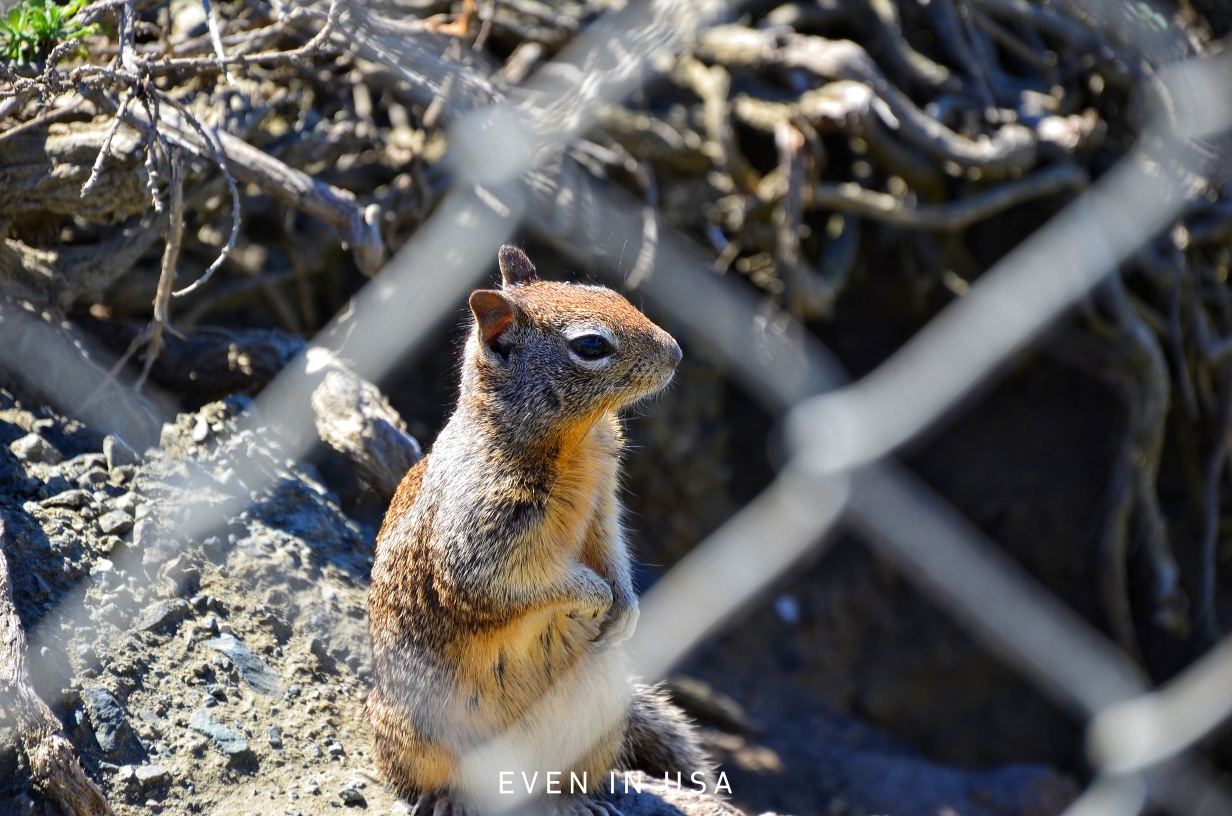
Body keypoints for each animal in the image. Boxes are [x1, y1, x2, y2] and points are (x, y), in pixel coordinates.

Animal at [364, 246, 714, 813]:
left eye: (607, 292)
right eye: (591, 345)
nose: (677, 353)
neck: (576, 438)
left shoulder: (604, 499)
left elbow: (610, 545)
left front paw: (625, 605)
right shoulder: (481, 536)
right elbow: (511, 580)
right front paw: (595, 595)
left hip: (600, 708)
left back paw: (575, 800)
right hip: (414, 731)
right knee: (420, 776)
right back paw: (446, 799)